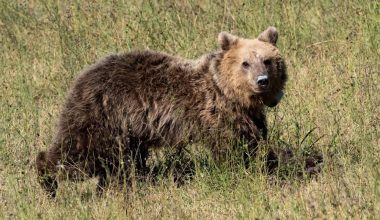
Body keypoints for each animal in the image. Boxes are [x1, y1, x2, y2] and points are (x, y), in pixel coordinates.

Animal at [36, 26, 288, 197]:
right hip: (103, 118)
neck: (229, 92)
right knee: (79, 155)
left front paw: (272, 165)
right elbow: (235, 148)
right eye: (245, 63)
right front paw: (246, 172)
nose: (262, 80)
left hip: (127, 132)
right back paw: (48, 182)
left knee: (121, 164)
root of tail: (81, 79)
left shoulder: (250, 117)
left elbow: (256, 142)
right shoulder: (217, 115)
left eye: (267, 60)